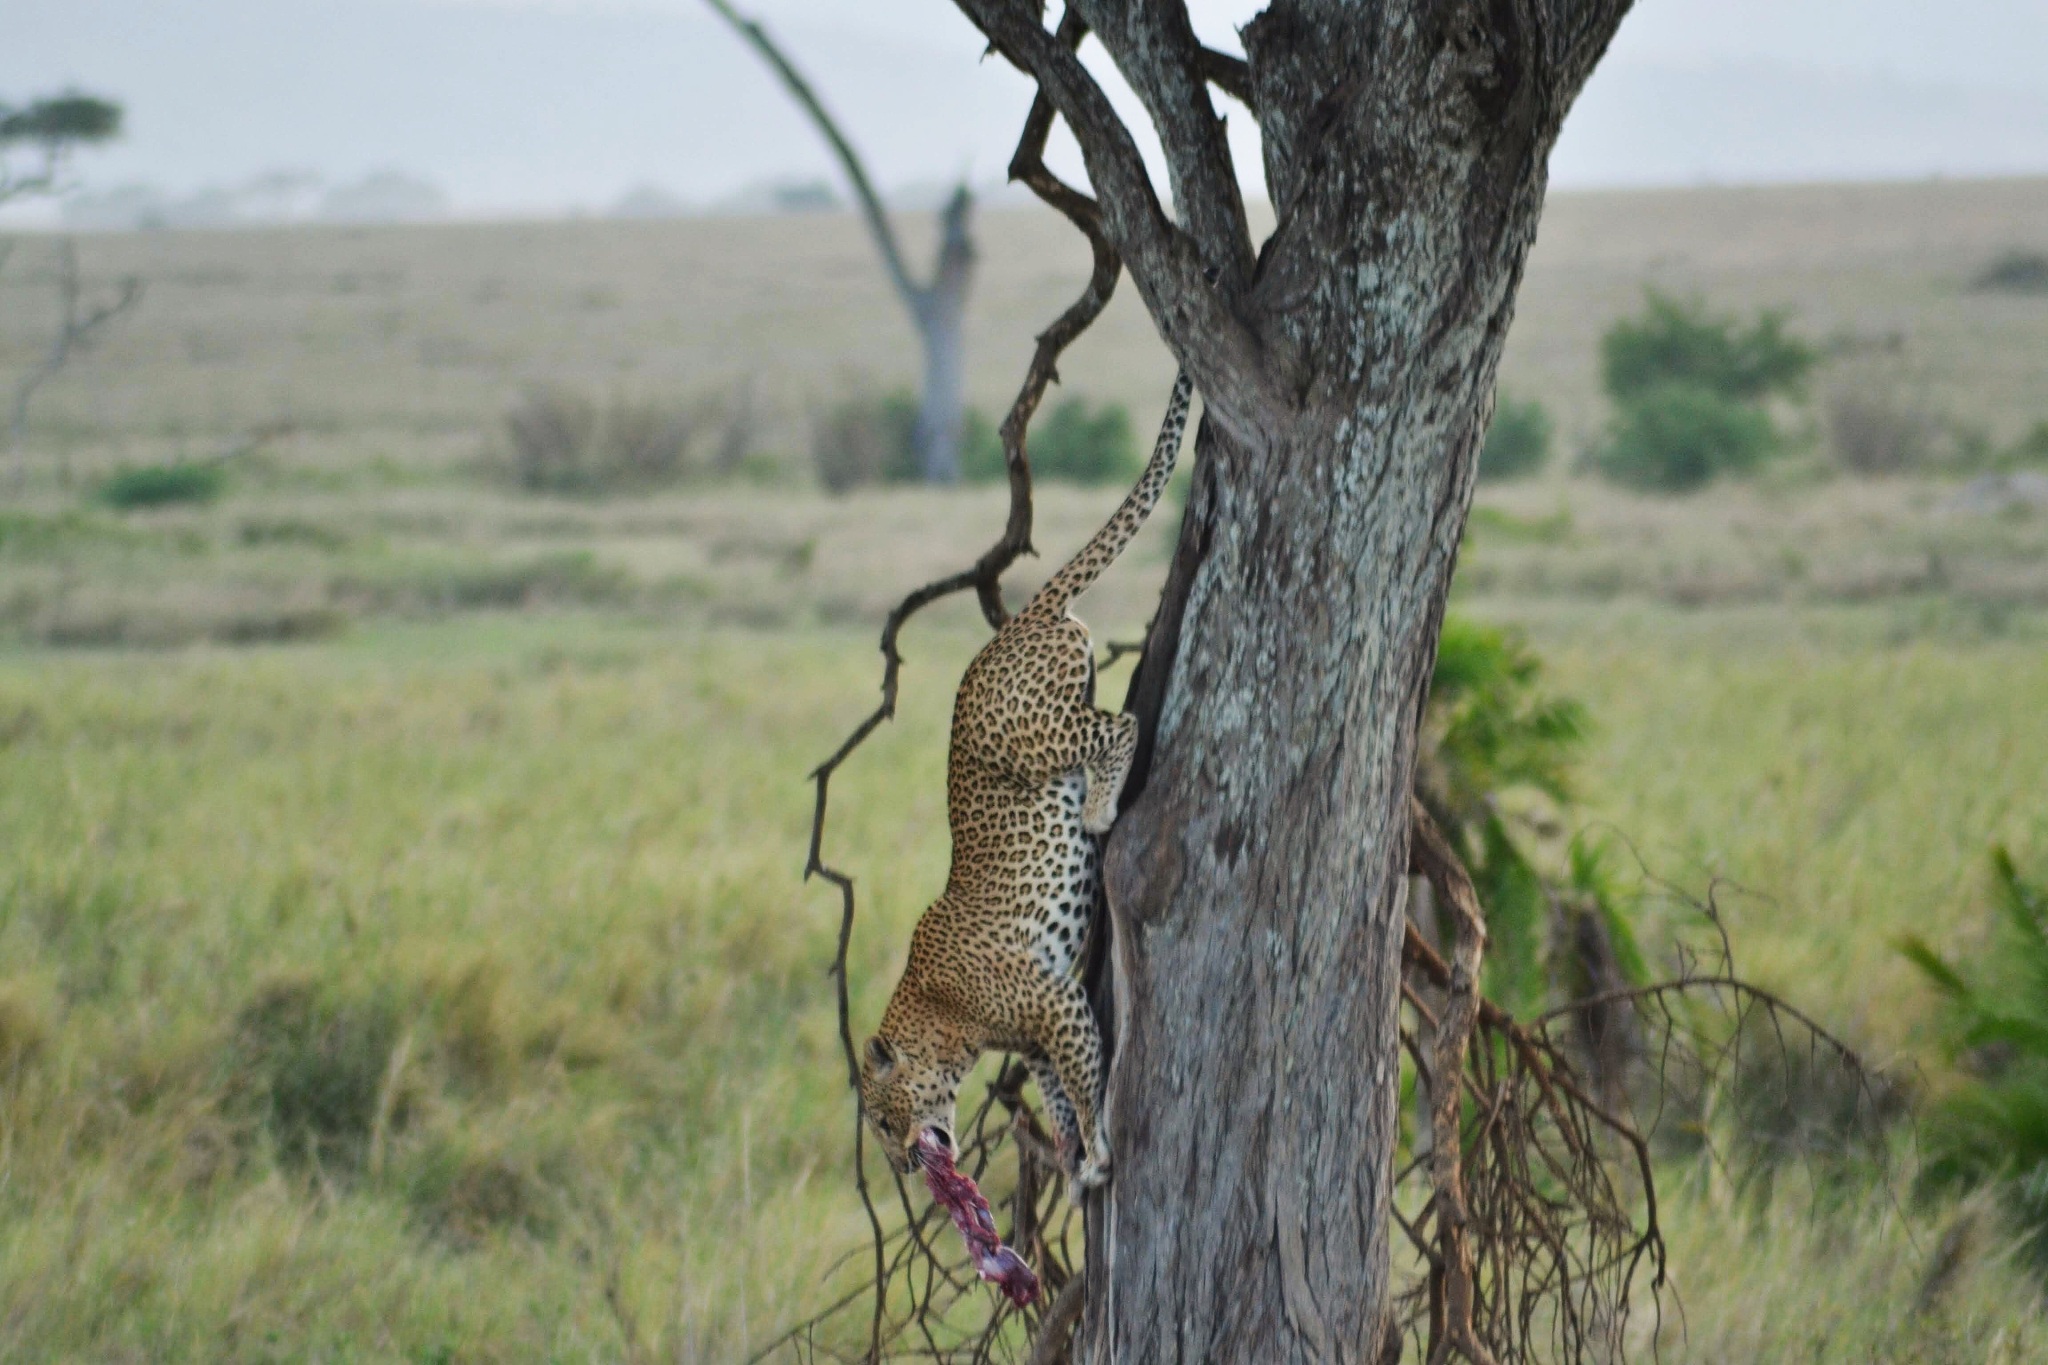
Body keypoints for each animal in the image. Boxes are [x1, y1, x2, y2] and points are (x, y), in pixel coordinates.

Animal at [859, 370, 1195, 1199]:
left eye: (880, 1119)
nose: (903, 1166)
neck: (938, 1017)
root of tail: (1017, 623)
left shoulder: (1055, 1004)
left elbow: (1087, 1081)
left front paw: (1100, 1152)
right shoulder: (1037, 1037)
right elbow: (1057, 1094)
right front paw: (1076, 1155)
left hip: (1028, 733)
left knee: (1118, 726)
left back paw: (1101, 807)